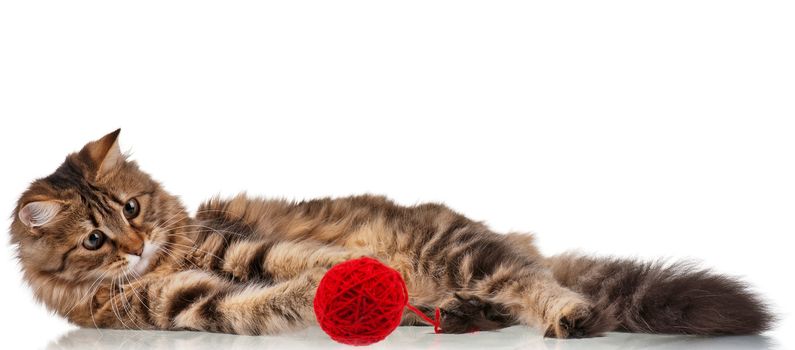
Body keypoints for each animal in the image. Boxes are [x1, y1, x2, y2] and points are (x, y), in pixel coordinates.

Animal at [9, 130, 776, 338]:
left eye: (132, 209)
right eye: (94, 241)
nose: (135, 248)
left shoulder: (238, 246)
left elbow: (311, 263)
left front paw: (353, 278)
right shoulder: (192, 305)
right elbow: (266, 300)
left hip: (461, 250)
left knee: (534, 283)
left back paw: (565, 313)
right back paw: (454, 313)